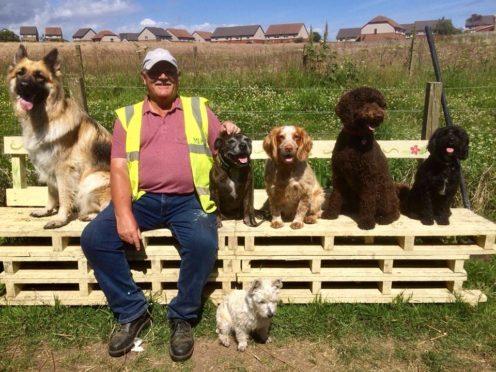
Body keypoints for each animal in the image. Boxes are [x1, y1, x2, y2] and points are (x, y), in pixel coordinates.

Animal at [7, 45, 110, 228]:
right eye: (20, 73)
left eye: (39, 76)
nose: (23, 85)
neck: (46, 117)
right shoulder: (47, 165)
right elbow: (51, 192)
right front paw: (47, 210)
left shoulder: (64, 170)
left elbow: (63, 196)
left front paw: (60, 219)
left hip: (93, 179)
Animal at [324, 86, 402, 230]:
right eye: (364, 103)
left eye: (379, 104)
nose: (379, 116)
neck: (355, 139)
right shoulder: (338, 175)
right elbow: (335, 195)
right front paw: (331, 213)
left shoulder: (369, 178)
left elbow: (368, 201)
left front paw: (366, 222)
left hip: (384, 192)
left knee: (394, 213)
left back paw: (384, 218)